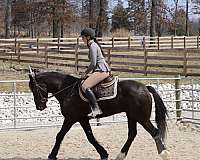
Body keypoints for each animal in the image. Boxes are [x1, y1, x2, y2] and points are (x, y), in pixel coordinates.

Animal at [28, 70, 170, 159]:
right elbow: (90, 136)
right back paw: (120, 156)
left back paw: (164, 154)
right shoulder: (82, 119)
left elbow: (60, 135)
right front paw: (103, 153)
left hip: (142, 118)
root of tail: (145, 88)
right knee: (132, 134)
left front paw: (52, 155)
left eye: (34, 89)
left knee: (155, 132)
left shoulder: (71, 118)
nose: (39, 107)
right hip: (132, 115)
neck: (67, 89)